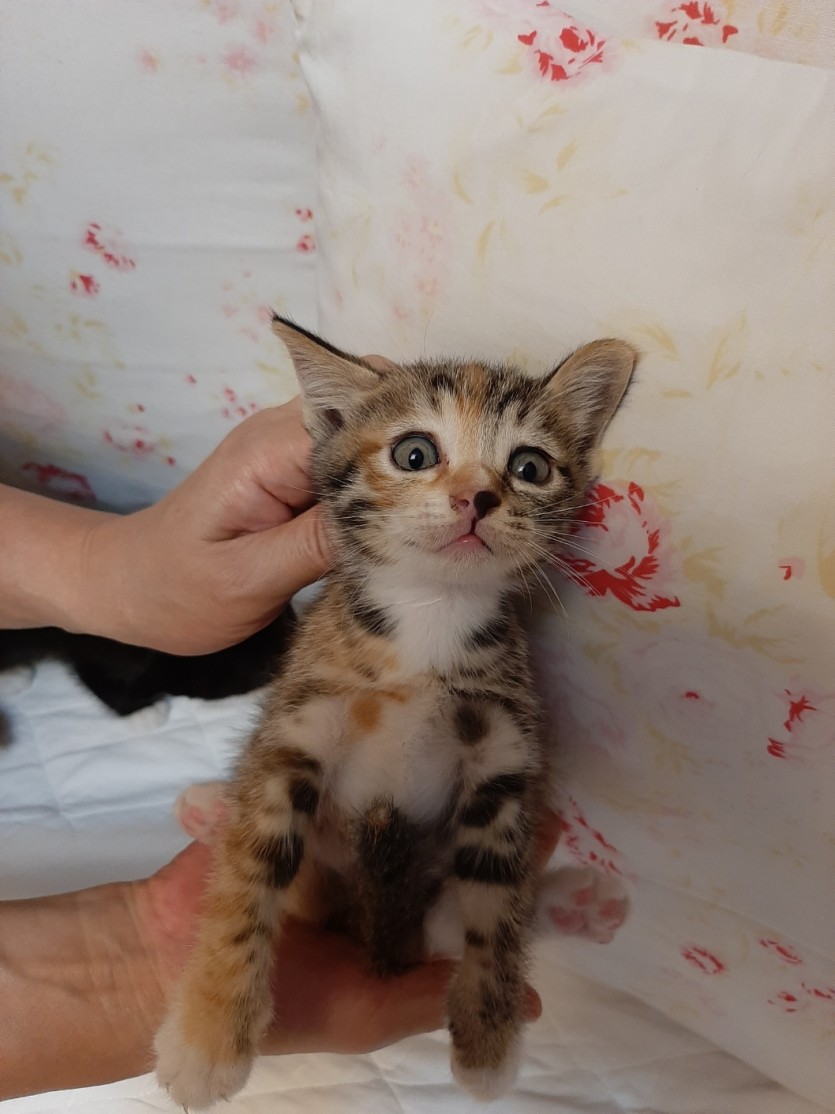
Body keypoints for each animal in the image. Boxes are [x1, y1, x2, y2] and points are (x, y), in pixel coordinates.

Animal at [154, 316, 636, 1107]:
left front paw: (489, 1037)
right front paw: (209, 1035)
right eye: (415, 454)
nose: (477, 498)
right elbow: (248, 881)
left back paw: (578, 905)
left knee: (443, 924)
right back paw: (205, 807)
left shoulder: (502, 759)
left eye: (529, 467)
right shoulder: (297, 729)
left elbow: (495, 909)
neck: (426, 624)